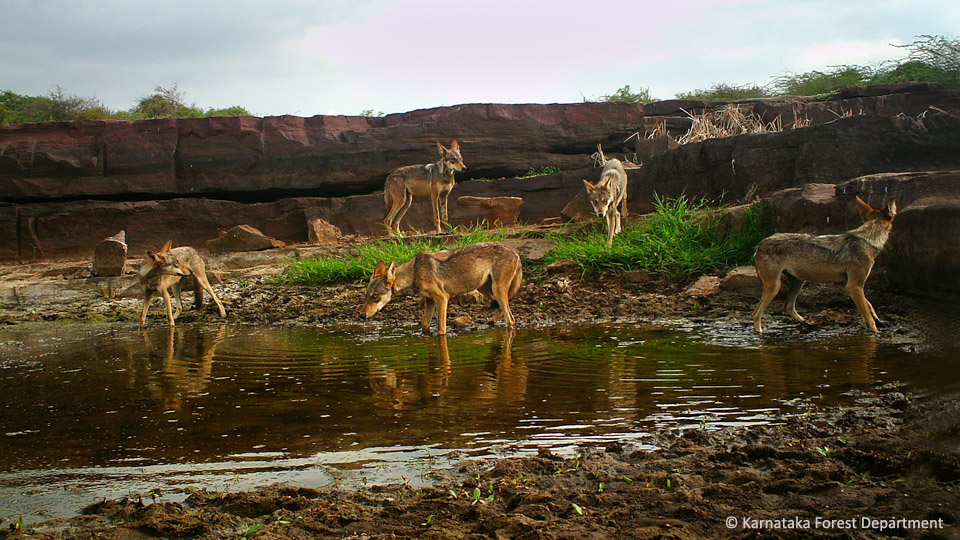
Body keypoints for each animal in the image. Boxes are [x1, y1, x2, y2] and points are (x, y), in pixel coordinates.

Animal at [361, 242, 522, 335]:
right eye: (366, 295)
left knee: (511, 319)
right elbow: (424, 325)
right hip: (486, 290)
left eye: (375, 296)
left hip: (497, 290)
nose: (361, 316)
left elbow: (441, 330)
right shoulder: (430, 301)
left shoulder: (442, 298)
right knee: (502, 310)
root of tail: (515, 252)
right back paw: (490, 322)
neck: (414, 273)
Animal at [752, 196, 897, 334]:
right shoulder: (854, 286)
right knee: (756, 314)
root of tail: (760, 244)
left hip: (798, 282)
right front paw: (876, 332)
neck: (868, 240)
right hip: (775, 287)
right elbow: (868, 317)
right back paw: (760, 334)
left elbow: (869, 304)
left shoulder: (843, 284)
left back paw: (807, 323)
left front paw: (880, 321)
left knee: (787, 306)